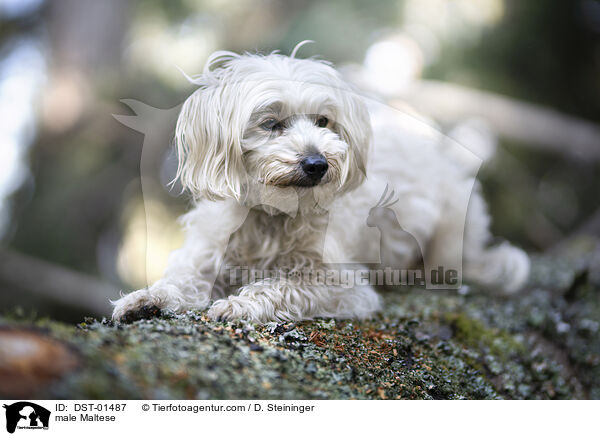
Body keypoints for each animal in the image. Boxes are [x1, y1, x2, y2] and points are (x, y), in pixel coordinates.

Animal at [110, 44, 528, 324]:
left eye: (323, 121)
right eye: (271, 123)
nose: (317, 164)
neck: (272, 217)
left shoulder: (341, 285)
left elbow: (282, 286)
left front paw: (239, 304)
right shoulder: (205, 255)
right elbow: (182, 280)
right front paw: (147, 298)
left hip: (450, 234)